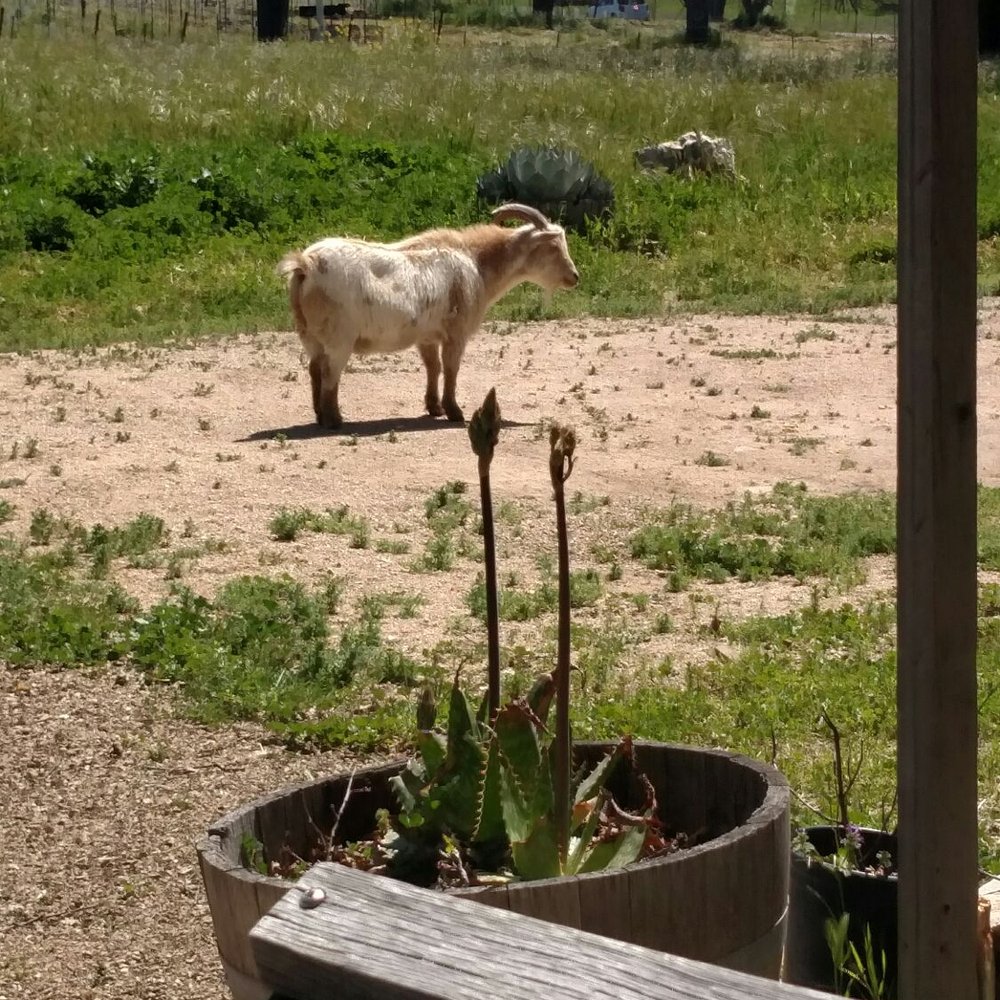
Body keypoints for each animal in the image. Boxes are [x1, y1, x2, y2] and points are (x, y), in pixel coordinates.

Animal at [276, 204, 579, 429]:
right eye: (553, 247)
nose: (574, 277)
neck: (477, 263)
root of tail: (305, 264)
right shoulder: (457, 332)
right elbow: (452, 369)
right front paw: (455, 412)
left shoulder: (427, 336)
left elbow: (434, 367)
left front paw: (434, 407)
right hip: (339, 337)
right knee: (330, 373)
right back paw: (334, 420)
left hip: (309, 334)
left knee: (315, 369)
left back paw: (319, 415)